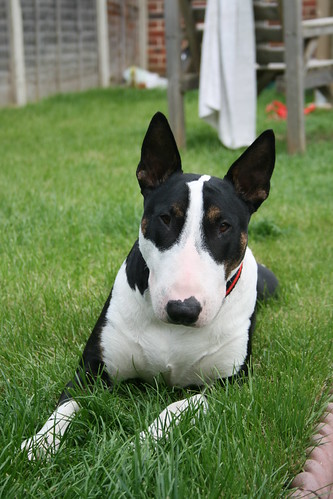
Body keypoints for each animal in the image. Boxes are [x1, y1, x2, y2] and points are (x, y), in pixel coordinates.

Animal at [21, 111, 278, 458]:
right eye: (166, 218)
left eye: (223, 225)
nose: (183, 309)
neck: (173, 331)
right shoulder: (92, 369)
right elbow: (66, 405)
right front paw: (40, 444)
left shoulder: (229, 385)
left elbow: (178, 406)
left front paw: (138, 445)